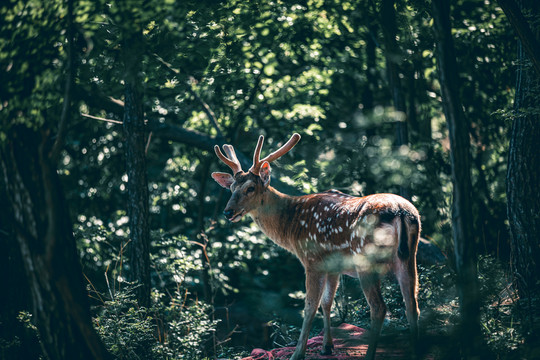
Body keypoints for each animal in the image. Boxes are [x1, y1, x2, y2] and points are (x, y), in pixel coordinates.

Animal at [211, 134, 422, 360]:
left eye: (250, 188)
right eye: (231, 188)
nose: (228, 212)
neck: (291, 225)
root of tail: (400, 211)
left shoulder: (312, 260)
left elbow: (310, 306)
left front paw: (298, 353)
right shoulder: (333, 267)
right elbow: (326, 303)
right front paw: (326, 347)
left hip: (365, 259)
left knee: (379, 308)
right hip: (408, 257)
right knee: (412, 305)